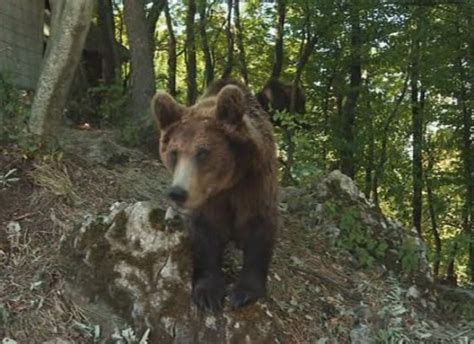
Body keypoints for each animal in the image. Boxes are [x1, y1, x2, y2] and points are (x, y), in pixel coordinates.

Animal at [151, 79, 278, 310]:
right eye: (174, 152)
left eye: (203, 152)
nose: (177, 193)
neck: (227, 184)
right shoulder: (207, 200)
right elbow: (206, 234)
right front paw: (208, 293)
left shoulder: (255, 182)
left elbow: (259, 226)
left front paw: (244, 293)